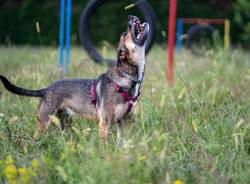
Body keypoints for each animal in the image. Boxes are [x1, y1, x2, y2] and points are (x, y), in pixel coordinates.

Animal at [0, 15, 149, 145]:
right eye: (124, 34)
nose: (130, 16)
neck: (127, 77)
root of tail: (47, 89)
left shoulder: (124, 121)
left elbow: (121, 144)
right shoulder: (105, 123)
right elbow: (105, 146)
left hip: (65, 123)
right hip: (44, 122)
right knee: (32, 139)